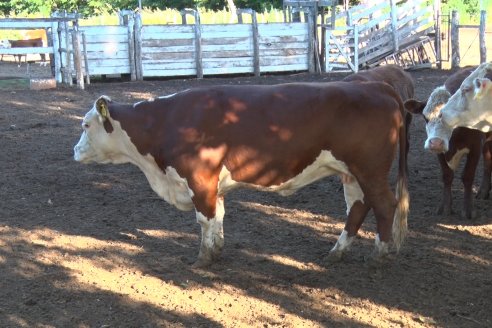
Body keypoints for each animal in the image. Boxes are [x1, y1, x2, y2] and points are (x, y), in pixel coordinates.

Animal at [74, 81, 408, 266]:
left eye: (86, 125)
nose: (75, 151)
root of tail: (376, 86)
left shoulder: (199, 179)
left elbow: (204, 220)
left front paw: (203, 259)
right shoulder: (212, 185)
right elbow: (218, 217)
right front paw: (217, 250)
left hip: (370, 169)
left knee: (384, 205)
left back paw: (380, 255)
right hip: (351, 173)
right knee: (358, 208)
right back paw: (336, 253)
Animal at [404, 67, 492, 219]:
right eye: (425, 117)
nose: (436, 142)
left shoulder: (475, 147)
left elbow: (467, 176)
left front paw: (468, 210)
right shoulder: (440, 152)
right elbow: (447, 176)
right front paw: (445, 207)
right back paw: (484, 191)